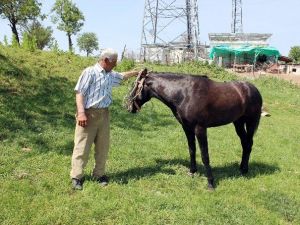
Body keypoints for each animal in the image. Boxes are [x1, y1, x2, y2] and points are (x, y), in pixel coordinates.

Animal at [126, 68, 262, 188]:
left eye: (135, 85)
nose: (128, 106)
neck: (184, 93)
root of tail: (253, 88)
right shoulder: (187, 128)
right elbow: (192, 150)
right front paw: (192, 171)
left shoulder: (200, 128)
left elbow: (204, 154)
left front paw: (210, 182)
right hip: (238, 122)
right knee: (244, 143)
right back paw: (241, 168)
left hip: (251, 122)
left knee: (248, 144)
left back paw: (245, 170)